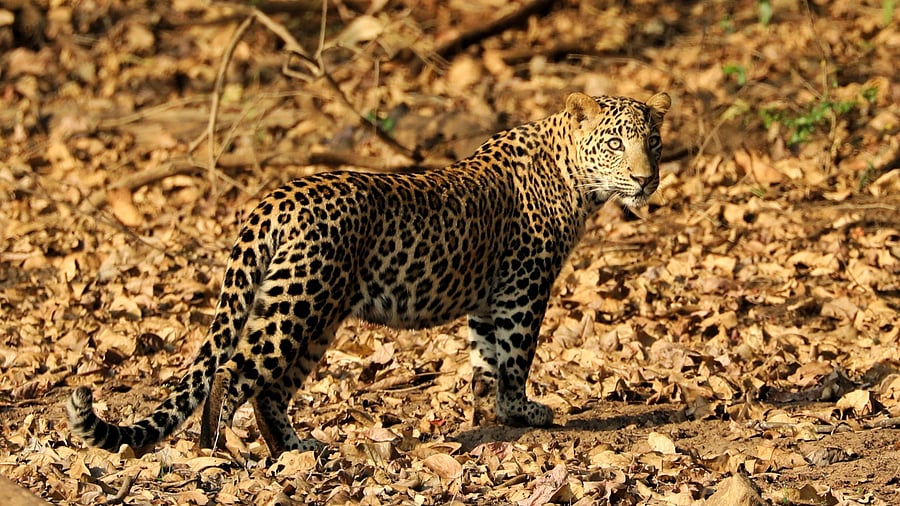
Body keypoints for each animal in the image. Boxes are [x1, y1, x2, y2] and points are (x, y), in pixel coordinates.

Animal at [67, 91, 671, 457]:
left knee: (270, 390)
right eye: (615, 143)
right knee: (233, 372)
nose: (646, 179)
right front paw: (523, 411)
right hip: (297, 305)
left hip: (313, 311)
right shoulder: (524, 285)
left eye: (654, 142)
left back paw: (294, 450)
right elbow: (516, 354)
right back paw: (216, 451)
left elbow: (485, 359)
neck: (574, 178)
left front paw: (489, 414)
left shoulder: (486, 298)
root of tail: (274, 199)